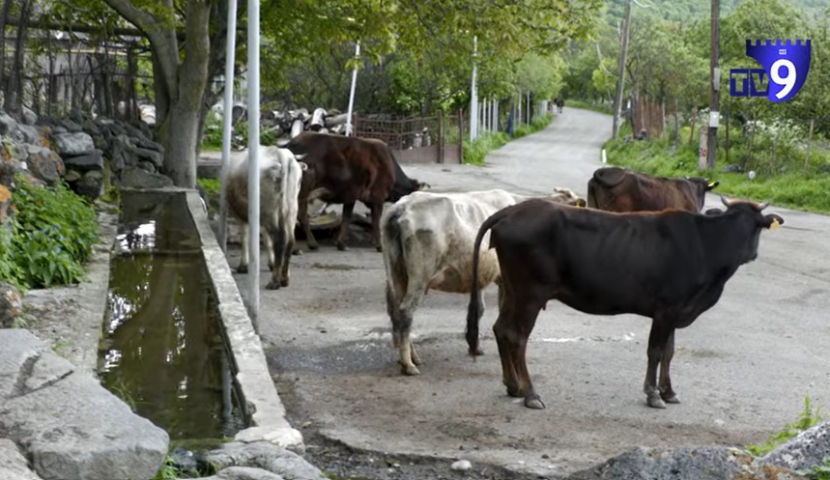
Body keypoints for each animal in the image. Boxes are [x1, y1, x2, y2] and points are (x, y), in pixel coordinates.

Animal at [226, 145, 308, 288]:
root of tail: (281, 154)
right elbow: (266, 239)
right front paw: (271, 263)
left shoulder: (243, 216)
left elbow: (245, 237)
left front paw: (243, 265)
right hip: (290, 208)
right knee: (290, 240)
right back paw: (284, 278)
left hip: (271, 211)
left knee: (279, 240)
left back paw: (274, 281)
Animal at [286, 131, 428, 251]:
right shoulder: (378, 196)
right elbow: (376, 220)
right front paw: (379, 245)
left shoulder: (351, 195)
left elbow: (346, 218)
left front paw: (341, 243)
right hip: (302, 191)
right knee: (299, 215)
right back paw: (303, 246)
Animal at [380, 187, 588, 376]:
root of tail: (402, 207)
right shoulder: (507, 279)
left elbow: (479, 309)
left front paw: (477, 347)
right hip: (420, 274)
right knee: (406, 311)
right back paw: (408, 365)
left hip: (397, 274)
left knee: (397, 310)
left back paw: (412, 357)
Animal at [468, 197, 788, 410]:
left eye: (755, 226)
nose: (750, 253)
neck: (705, 246)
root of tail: (514, 209)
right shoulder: (666, 309)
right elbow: (655, 351)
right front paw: (653, 394)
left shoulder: (677, 310)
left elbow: (669, 352)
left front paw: (669, 391)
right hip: (530, 294)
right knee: (518, 336)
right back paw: (531, 393)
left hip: (512, 289)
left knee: (501, 329)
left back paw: (513, 386)